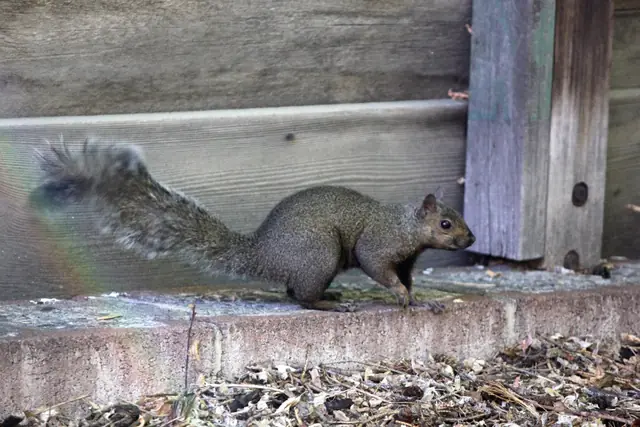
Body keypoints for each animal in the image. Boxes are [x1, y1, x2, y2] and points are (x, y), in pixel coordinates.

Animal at [29, 138, 476, 313]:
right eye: (445, 223)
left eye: (460, 220)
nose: (472, 237)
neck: (407, 227)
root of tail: (265, 254)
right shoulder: (381, 244)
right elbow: (376, 266)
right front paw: (400, 295)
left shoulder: (407, 259)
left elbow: (408, 279)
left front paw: (419, 300)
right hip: (320, 254)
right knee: (301, 297)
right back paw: (328, 303)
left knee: (293, 291)